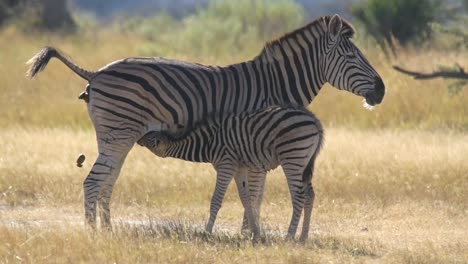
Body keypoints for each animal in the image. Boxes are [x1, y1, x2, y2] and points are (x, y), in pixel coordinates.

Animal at [137, 105, 324, 241]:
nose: (137, 139)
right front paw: (255, 233)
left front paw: (207, 232)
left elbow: (216, 200)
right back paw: (303, 237)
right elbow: (246, 199)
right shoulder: (238, 168)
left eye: (148, 138)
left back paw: (289, 236)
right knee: (310, 195)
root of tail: (313, 119)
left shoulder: (226, 165)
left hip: (292, 158)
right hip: (304, 163)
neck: (208, 142)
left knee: (298, 197)